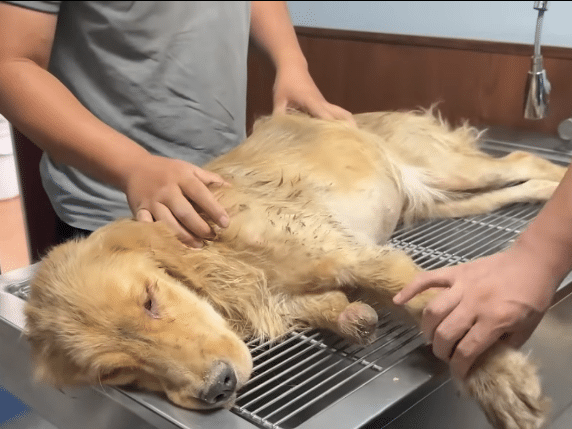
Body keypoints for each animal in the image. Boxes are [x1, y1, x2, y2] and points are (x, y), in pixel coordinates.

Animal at [25, 110, 565, 429]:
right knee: (524, 182)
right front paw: (349, 316)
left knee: (526, 160)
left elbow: (432, 305)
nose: (219, 387)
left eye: (150, 300)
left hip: (450, 171)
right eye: (117, 373)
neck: (227, 255)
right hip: (444, 200)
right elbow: (328, 307)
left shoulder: (361, 256)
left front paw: (498, 380)